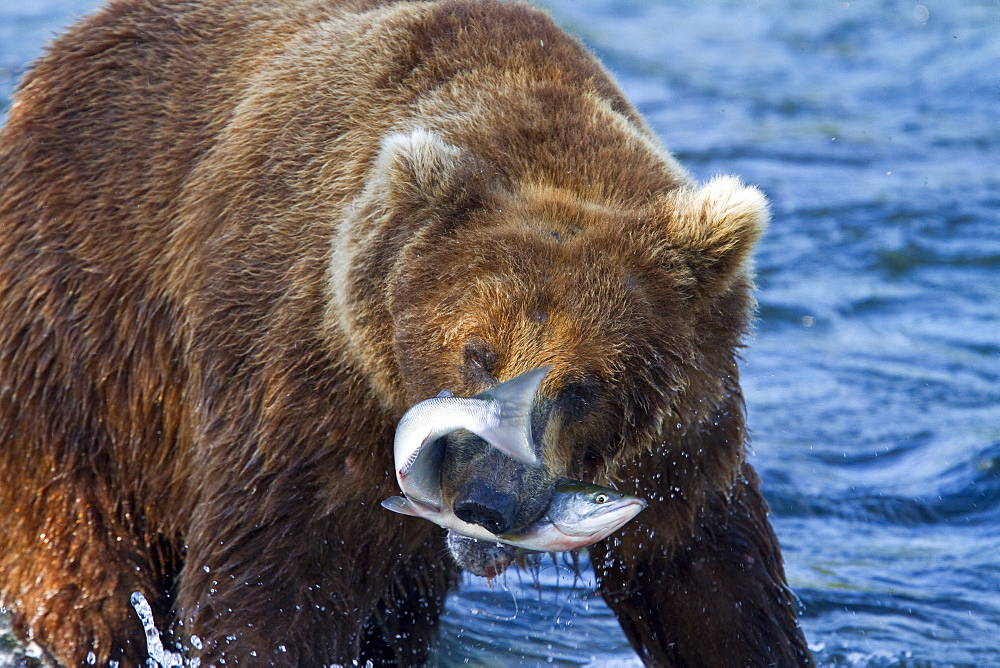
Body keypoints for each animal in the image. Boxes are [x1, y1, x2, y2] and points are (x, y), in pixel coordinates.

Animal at [0, 0, 812, 664]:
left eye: (584, 383)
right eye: (478, 353)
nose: (490, 500)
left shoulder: (683, 440)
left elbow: (710, 582)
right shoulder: (305, 394)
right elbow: (270, 584)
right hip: (82, 355)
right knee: (79, 561)